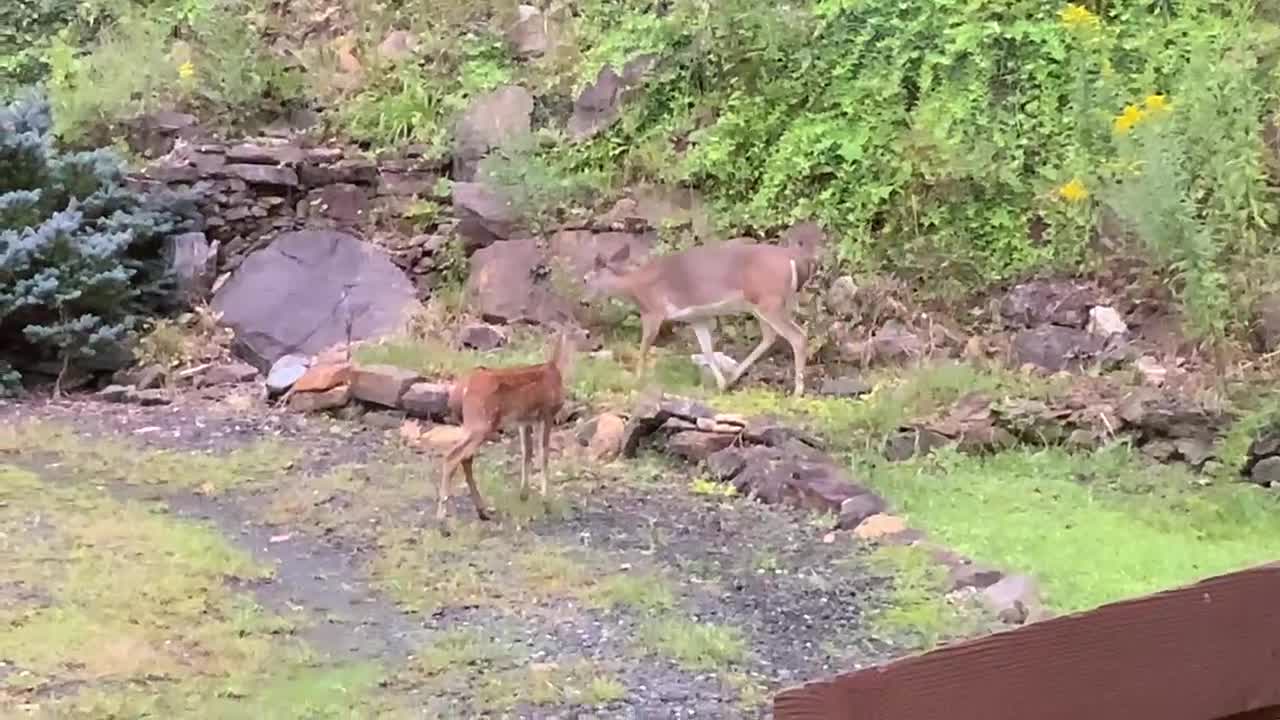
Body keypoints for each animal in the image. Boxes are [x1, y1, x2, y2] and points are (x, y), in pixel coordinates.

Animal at [437, 330, 576, 524]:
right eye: (586, 335)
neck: (556, 370)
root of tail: (463, 387)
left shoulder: (524, 420)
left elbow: (526, 452)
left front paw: (524, 494)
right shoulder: (547, 414)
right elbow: (544, 454)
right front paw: (546, 501)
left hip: (471, 424)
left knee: (465, 458)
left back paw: (482, 511)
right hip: (480, 423)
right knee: (453, 456)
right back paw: (442, 517)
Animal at [582, 237, 818, 396]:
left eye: (585, 279)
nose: (584, 301)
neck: (635, 287)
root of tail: (795, 259)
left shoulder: (653, 311)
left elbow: (643, 348)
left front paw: (636, 380)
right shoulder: (696, 317)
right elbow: (707, 350)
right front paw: (720, 384)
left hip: (769, 302)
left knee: (798, 336)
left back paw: (797, 390)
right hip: (766, 304)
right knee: (770, 337)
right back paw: (731, 379)